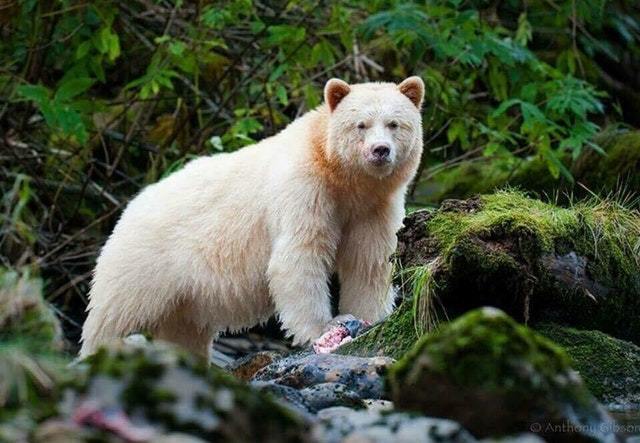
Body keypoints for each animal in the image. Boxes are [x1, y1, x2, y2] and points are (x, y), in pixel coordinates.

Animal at [80, 77, 424, 360]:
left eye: (394, 124)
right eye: (360, 125)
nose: (380, 151)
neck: (343, 180)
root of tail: (131, 206)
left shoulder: (374, 207)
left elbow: (369, 260)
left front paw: (370, 317)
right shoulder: (304, 191)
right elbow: (298, 257)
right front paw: (324, 328)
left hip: (184, 295)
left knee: (183, 331)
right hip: (144, 265)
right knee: (113, 318)